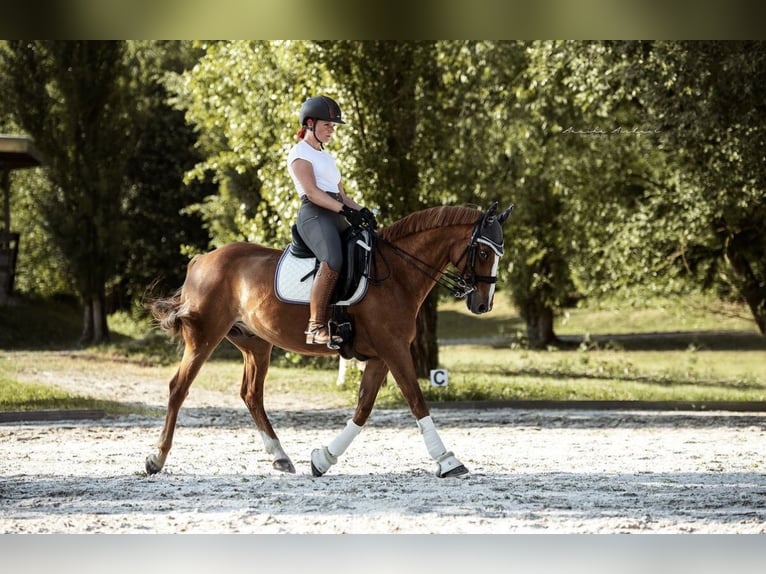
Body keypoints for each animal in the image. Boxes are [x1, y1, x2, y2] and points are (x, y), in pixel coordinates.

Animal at [146, 202, 513, 478]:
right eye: (483, 252)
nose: (482, 305)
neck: (397, 273)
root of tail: (201, 259)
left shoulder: (381, 356)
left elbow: (363, 409)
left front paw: (322, 459)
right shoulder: (394, 350)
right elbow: (416, 400)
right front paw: (448, 460)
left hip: (256, 344)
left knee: (251, 394)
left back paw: (280, 456)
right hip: (204, 337)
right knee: (179, 388)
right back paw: (156, 458)